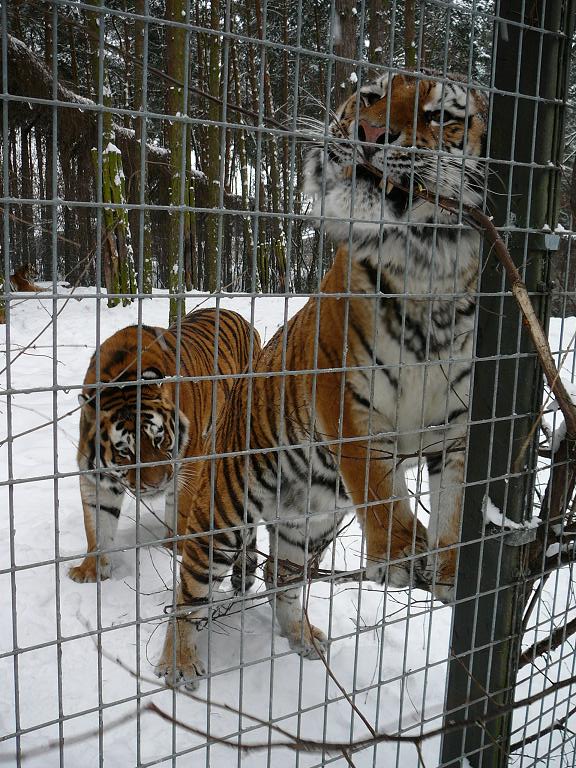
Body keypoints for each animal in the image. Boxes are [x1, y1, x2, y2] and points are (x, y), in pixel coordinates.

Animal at [69, 308, 261, 583]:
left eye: (159, 439)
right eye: (125, 451)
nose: (157, 484)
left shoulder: (189, 463)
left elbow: (181, 506)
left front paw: (175, 548)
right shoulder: (96, 475)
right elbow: (98, 522)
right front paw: (90, 571)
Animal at [155, 71, 487, 689]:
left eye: (438, 116)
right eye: (371, 96)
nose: (370, 134)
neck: (431, 267)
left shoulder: (457, 428)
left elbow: (453, 508)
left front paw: (449, 569)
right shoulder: (344, 398)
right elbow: (378, 486)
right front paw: (397, 553)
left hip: (309, 524)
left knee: (280, 580)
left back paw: (301, 636)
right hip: (226, 511)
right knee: (189, 590)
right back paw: (179, 664)